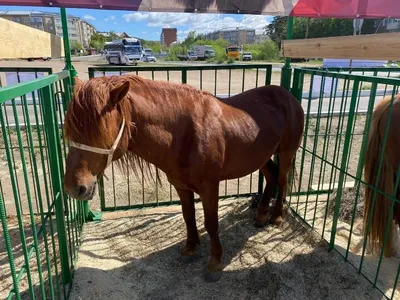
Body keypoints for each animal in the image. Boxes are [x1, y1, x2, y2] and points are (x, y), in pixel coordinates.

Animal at [63, 73, 304, 282]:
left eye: (99, 130)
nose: (74, 187)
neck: (184, 134)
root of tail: (288, 95)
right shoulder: (180, 186)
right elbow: (188, 216)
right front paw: (190, 247)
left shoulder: (209, 188)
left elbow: (211, 223)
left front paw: (215, 263)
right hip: (261, 155)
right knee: (271, 177)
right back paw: (261, 215)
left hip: (286, 152)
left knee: (282, 180)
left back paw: (276, 217)